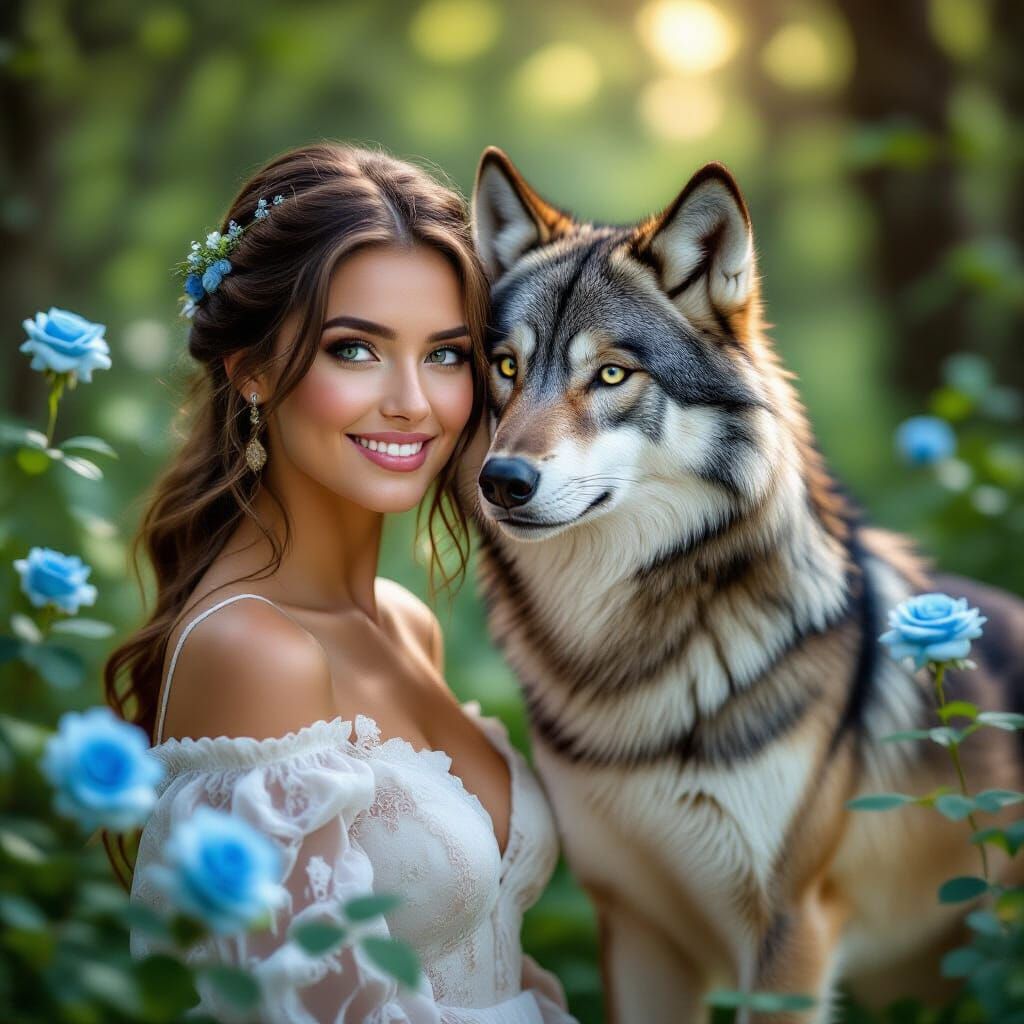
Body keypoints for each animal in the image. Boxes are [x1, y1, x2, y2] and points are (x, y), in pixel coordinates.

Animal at [463, 147, 1024, 1023]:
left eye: (612, 373)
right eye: (506, 366)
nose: (502, 483)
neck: (619, 660)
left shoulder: (794, 932)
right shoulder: (634, 928)